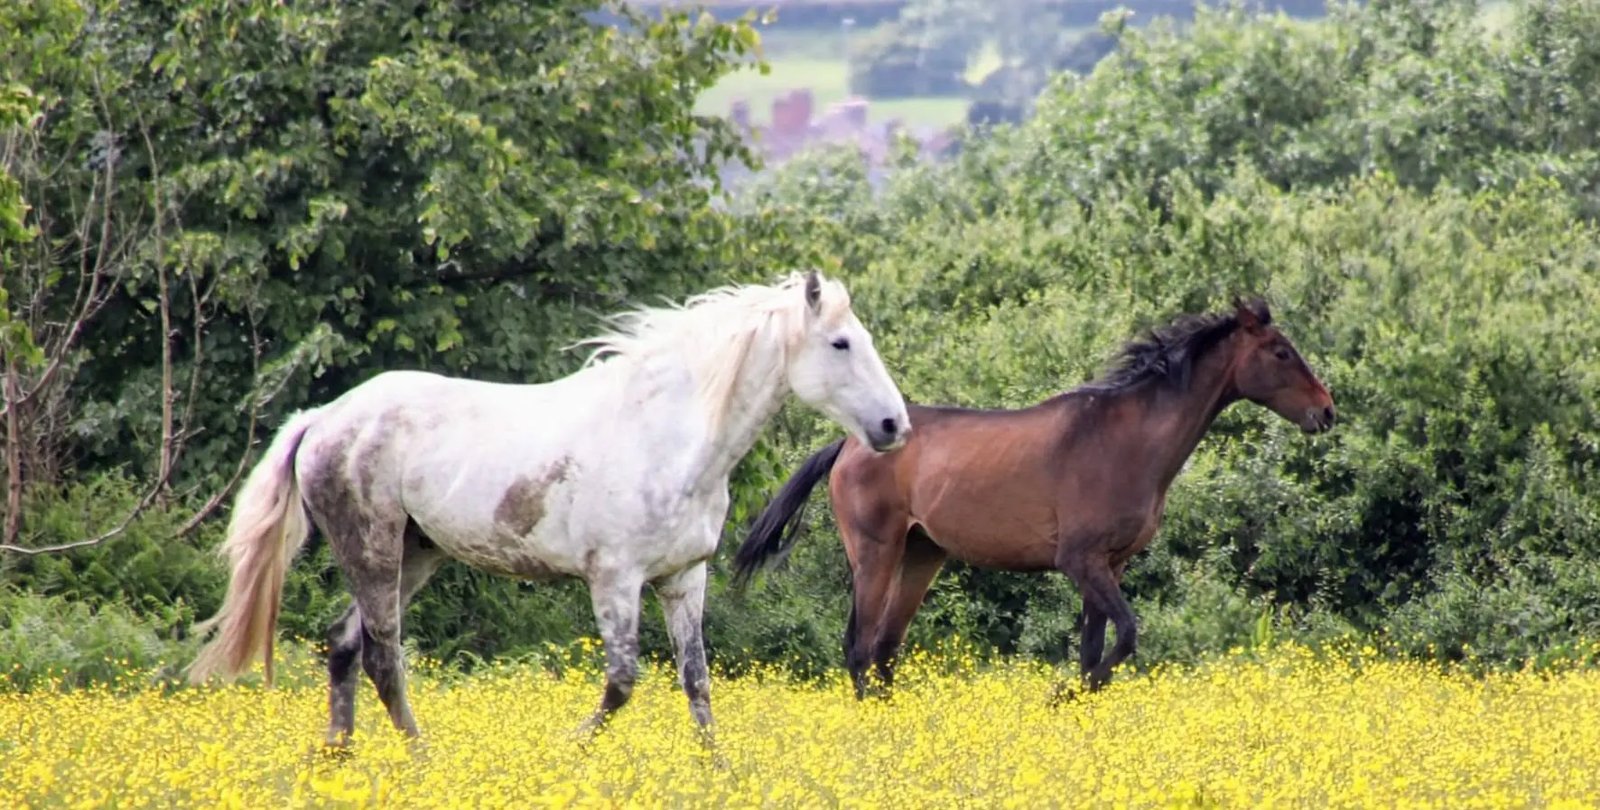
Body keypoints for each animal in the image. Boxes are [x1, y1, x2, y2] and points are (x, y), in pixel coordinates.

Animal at [187, 271, 911, 745]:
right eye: (841, 343)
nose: (893, 426)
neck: (667, 436)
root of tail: (322, 419)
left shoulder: (683, 579)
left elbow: (697, 685)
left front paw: (720, 777)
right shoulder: (614, 580)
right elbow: (622, 682)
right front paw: (569, 751)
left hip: (414, 555)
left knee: (343, 646)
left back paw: (339, 760)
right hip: (372, 547)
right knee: (383, 660)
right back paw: (423, 762)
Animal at [733, 298, 1335, 698]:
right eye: (1281, 352)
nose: (1326, 412)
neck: (1126, 439)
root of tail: (849, 445)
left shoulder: (1109, 565)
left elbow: (1096, 650)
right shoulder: (1082, 561)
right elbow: (1125, 636)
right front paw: (1061, 697)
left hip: (921, 555)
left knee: (883, 649)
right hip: (874, 553)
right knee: (859, 649)